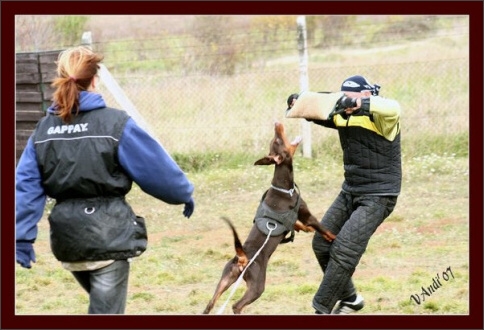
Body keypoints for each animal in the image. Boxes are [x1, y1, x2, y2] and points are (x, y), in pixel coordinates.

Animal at [202, 121, 334, 314]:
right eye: (278, 140)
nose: (277, 123)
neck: (283, 187)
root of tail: (242, 258)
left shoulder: (295, 220)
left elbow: (298, 225)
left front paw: (306, 230)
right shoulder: (307, 214)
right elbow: (325, 229)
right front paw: (332, 237)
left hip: (226, 279)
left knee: (210, 304)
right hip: (257, 285)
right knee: (236, 305)